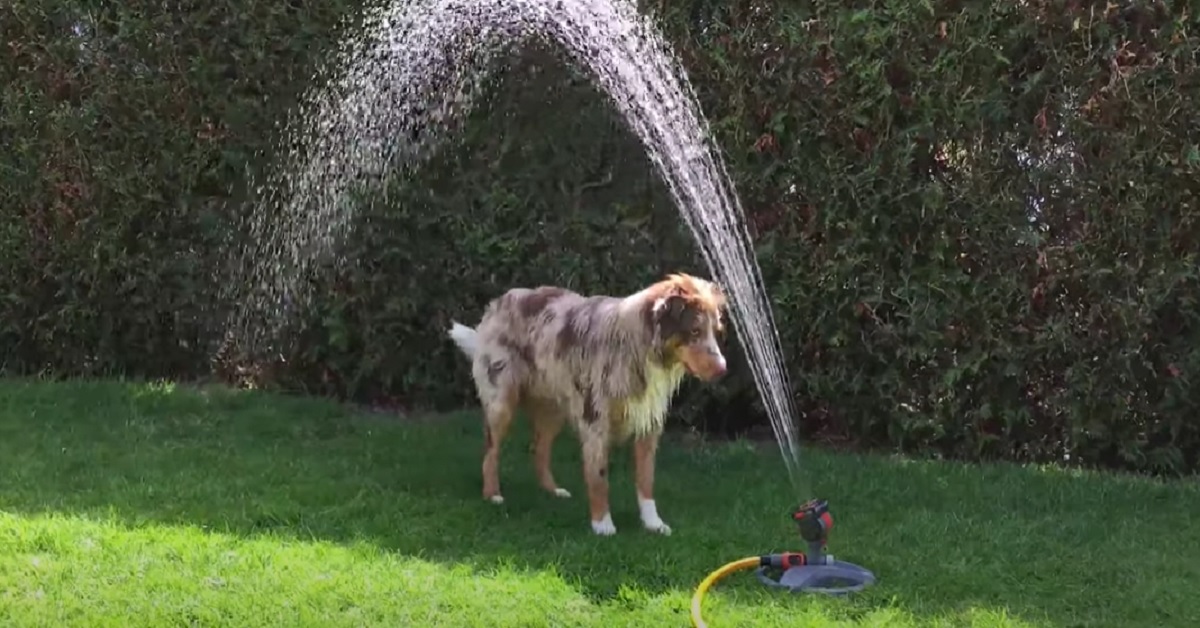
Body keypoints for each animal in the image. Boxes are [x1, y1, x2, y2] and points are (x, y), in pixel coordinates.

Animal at [446, 273, 724, 535]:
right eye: (695, 330)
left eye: (716, 330)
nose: (723, 369)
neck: (637, 346)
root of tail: (498, 302)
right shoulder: (595, 421)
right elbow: (599, 477)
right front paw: (602, 525)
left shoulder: (648, 424)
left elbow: (646, 480)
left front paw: (653, 523)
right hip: (502, 402)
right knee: (490, 451)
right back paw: (492, 494)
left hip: (554, 408)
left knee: (539, 448)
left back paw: (553, 491)